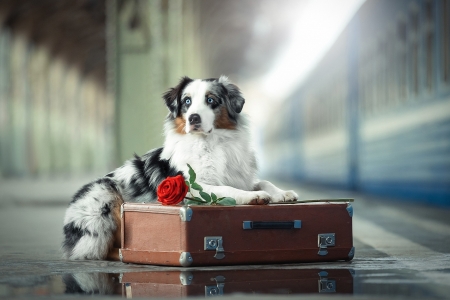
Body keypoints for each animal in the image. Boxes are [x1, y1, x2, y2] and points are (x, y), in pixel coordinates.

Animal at [61, 75, 298, 260]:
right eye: (187, 101)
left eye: (211, 100)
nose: (193, 118)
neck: (212, 143)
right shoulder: (194, 187)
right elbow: (226, 189)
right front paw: (254, 197)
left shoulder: (241, 177)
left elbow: (262, 181)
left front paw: (283, 193)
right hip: (103, 200)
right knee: (99, 248)